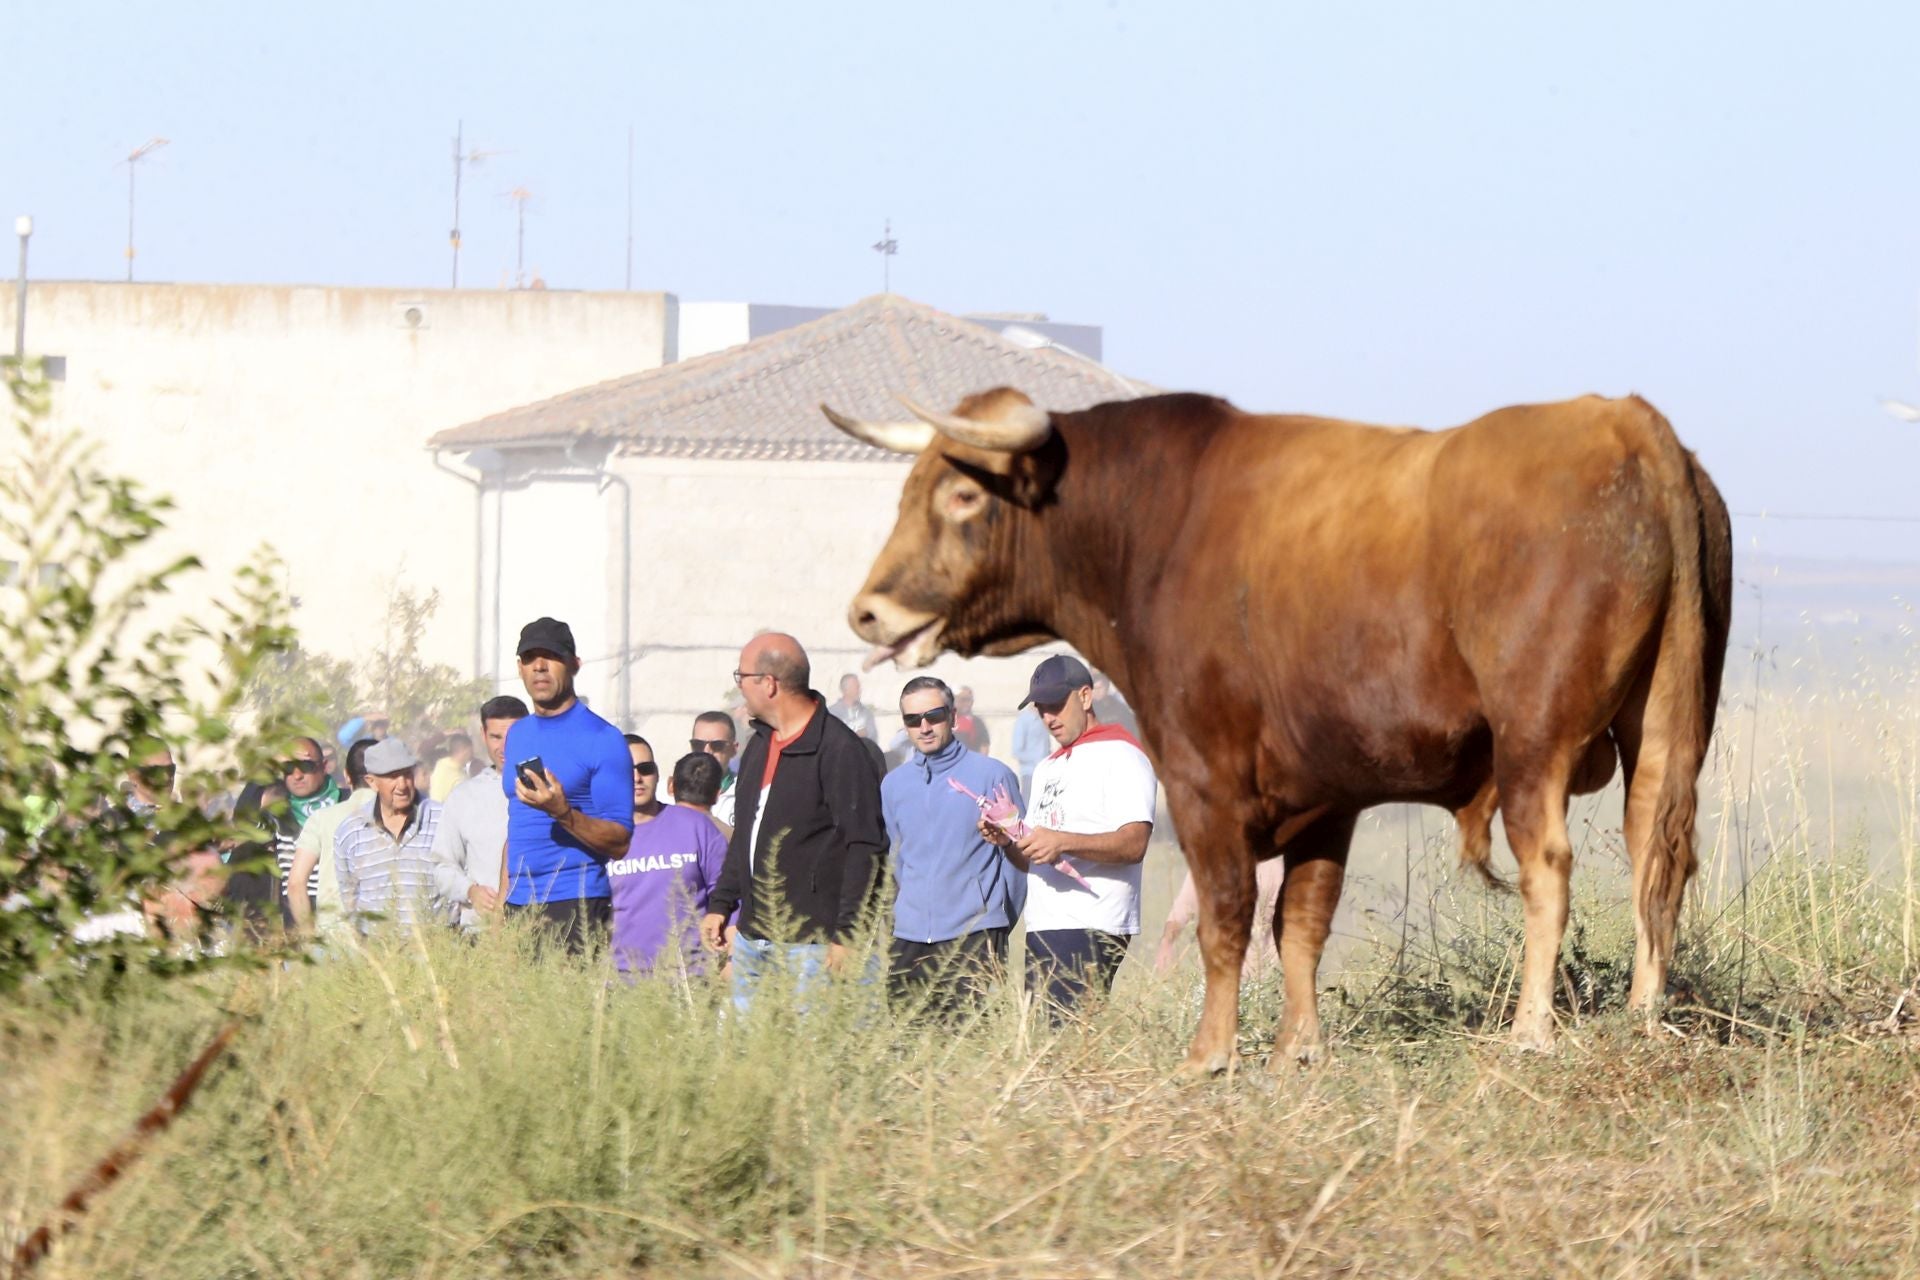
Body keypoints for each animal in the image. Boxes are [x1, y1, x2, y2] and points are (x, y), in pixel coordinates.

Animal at [833, 387, 1735, 1074]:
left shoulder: (1201, 779)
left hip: (1532, 741)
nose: (867, 611)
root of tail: (1628, 422)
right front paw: (1297, 1049)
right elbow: (1299, 923)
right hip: (1663, 725)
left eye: (962, 496)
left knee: (1550, 868)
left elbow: (1226, 916)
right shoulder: (1327, 798)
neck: (1156, 525)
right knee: (1657, 857)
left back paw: (1529, 1029)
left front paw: (1210, 1053)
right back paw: (1645, 1012)